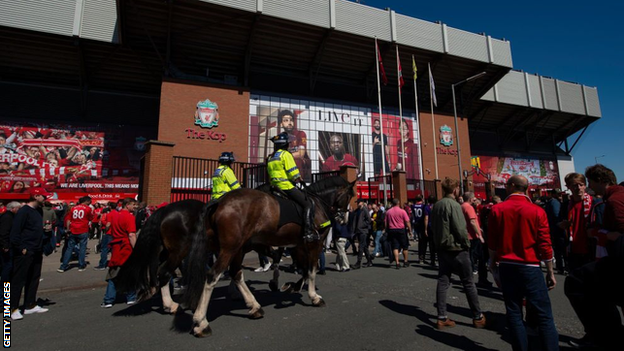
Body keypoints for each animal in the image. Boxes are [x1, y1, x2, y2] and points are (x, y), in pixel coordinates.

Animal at [183, 176, 354, 338]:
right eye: (350, 196)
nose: (344, 218)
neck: (318, 204)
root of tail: (219, 201)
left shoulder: (297, 246)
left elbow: (302, 269)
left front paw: (290, 285)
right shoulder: (314, 244)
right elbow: (311, 270)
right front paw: (314, 297)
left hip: (237, 249)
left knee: (236, 274)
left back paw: (254, 307)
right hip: (230, 249)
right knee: (213, 275)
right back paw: (201, 322)